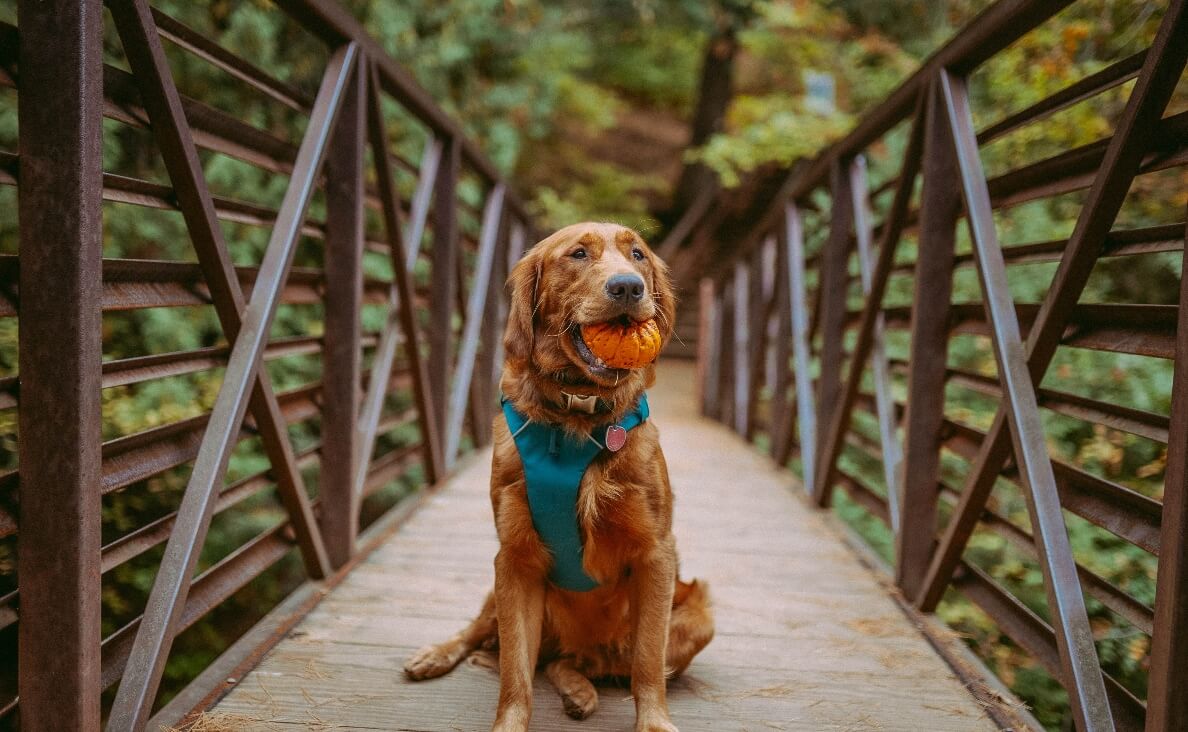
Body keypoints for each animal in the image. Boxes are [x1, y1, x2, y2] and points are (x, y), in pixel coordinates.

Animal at [399, 224, 712, 732]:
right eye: (578, 254)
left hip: (698, 616)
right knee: (493, 637)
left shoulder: (656, 555)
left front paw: (654, 722)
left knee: (572, 662)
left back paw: (580, 691)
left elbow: (647, 661)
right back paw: (437, 654)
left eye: (639, 255)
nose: (629, 287)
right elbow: (515, 673)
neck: (579, 414)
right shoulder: (514, 559)